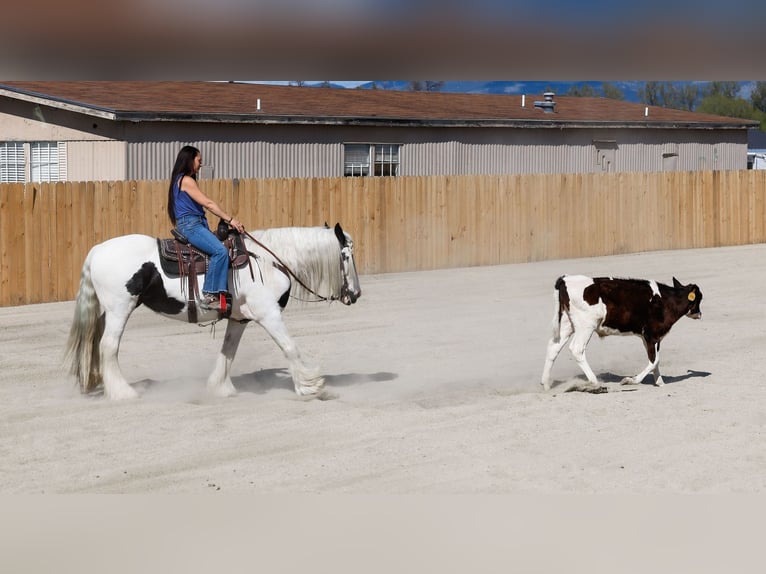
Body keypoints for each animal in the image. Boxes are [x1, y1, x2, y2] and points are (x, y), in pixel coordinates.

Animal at [64, 224, 362, 400]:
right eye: (346, 256)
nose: (356, 294)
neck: (268, 261)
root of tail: (96, 250)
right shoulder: (269, 314)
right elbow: (289, 347)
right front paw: (311, 386)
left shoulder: (240, 318)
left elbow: (228, 351)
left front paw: (220, 387)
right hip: (119, 309)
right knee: (108, 346)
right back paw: (123, 392)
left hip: (108, 312)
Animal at [544, 274, 704, 392]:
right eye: (699, 299)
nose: (699, 314)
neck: (667, 302)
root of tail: (566, 279)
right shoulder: (652, 335)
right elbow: (654, 361)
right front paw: (630, 380)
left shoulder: (649, 338)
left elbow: (655, 360)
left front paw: (660, 382)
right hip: (586, 325)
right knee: (577, 349)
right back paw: (595, 382)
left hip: (567, 324)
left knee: (553, 347)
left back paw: (545, 384)